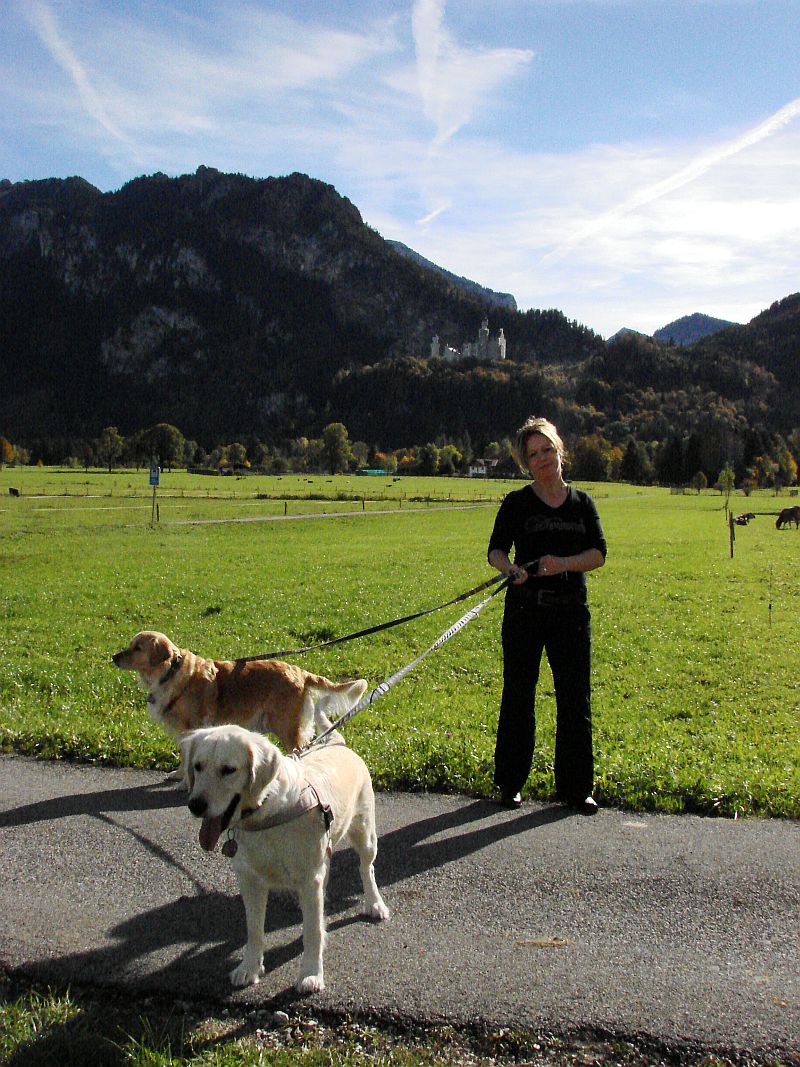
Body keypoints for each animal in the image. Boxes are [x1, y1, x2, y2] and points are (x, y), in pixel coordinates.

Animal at [182, 712, 394, 994]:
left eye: (228, 770)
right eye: (197, 766)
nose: (195, 805)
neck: (266, 811)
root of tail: (337, 744)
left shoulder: (309, 879)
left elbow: (312, 932)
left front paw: (311, 974)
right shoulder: (249, 880)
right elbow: (254, 930)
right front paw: (249, 967)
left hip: (365, 834)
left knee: (366, 869)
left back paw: (375, 904)